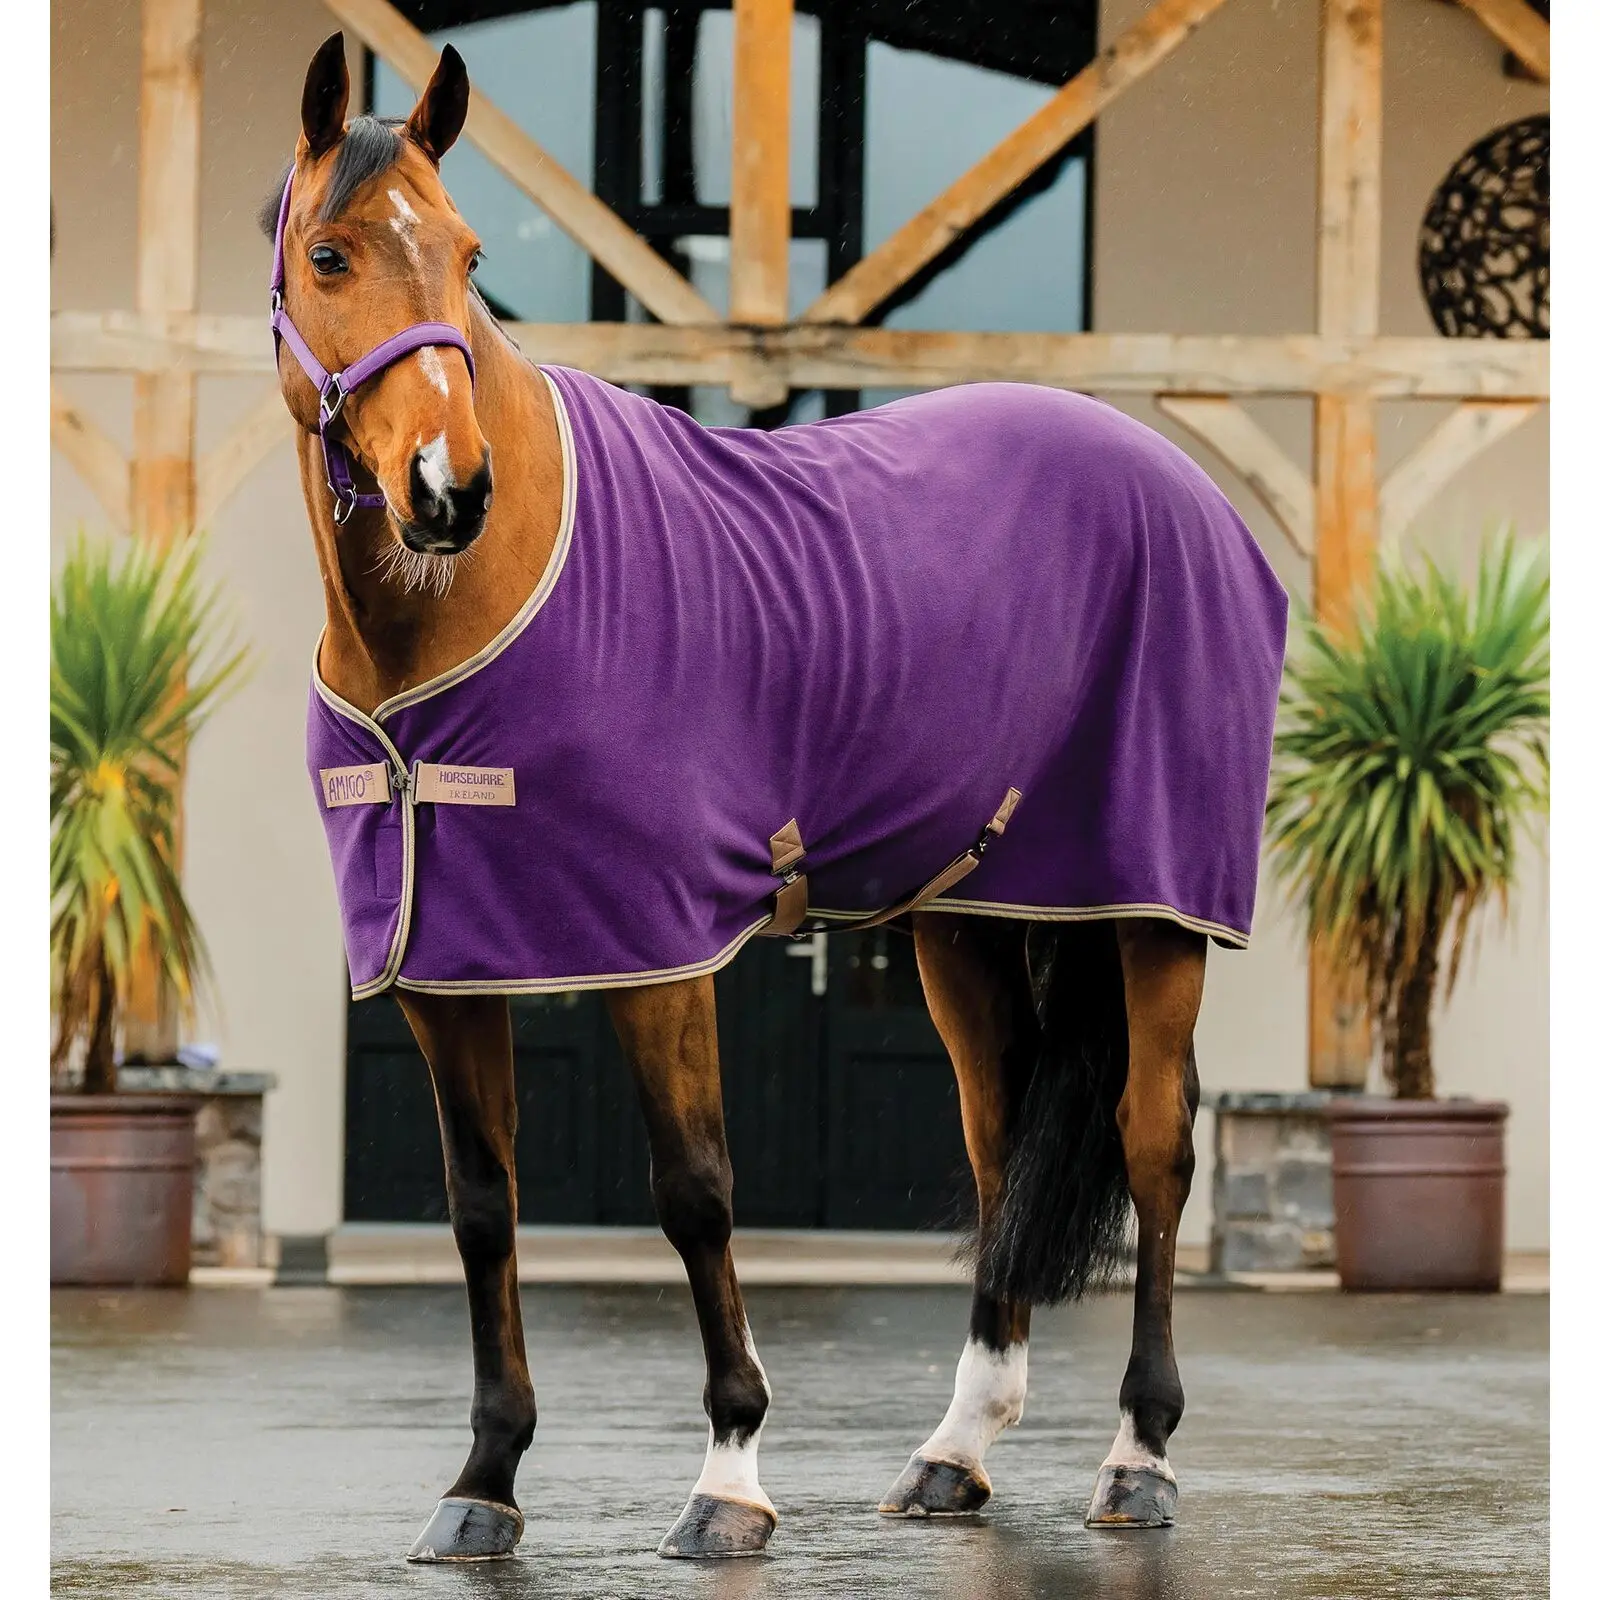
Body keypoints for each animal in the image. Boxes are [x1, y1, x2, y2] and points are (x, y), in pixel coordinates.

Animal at [267, 32, 1287, 1565]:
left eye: (463, 253)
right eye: (330, 255)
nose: (448, 489)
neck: (459, 608)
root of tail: (1183, 486)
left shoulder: (657, 949)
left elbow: (695, 1193)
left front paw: (731, 1476)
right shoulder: (447, 963)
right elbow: (481, 1207)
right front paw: (484, 1479)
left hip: (1155, 913)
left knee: (1154, 1147)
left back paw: (1138, 1459)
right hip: (971, 922)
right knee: (1000, 1152)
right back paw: (951, 1454)